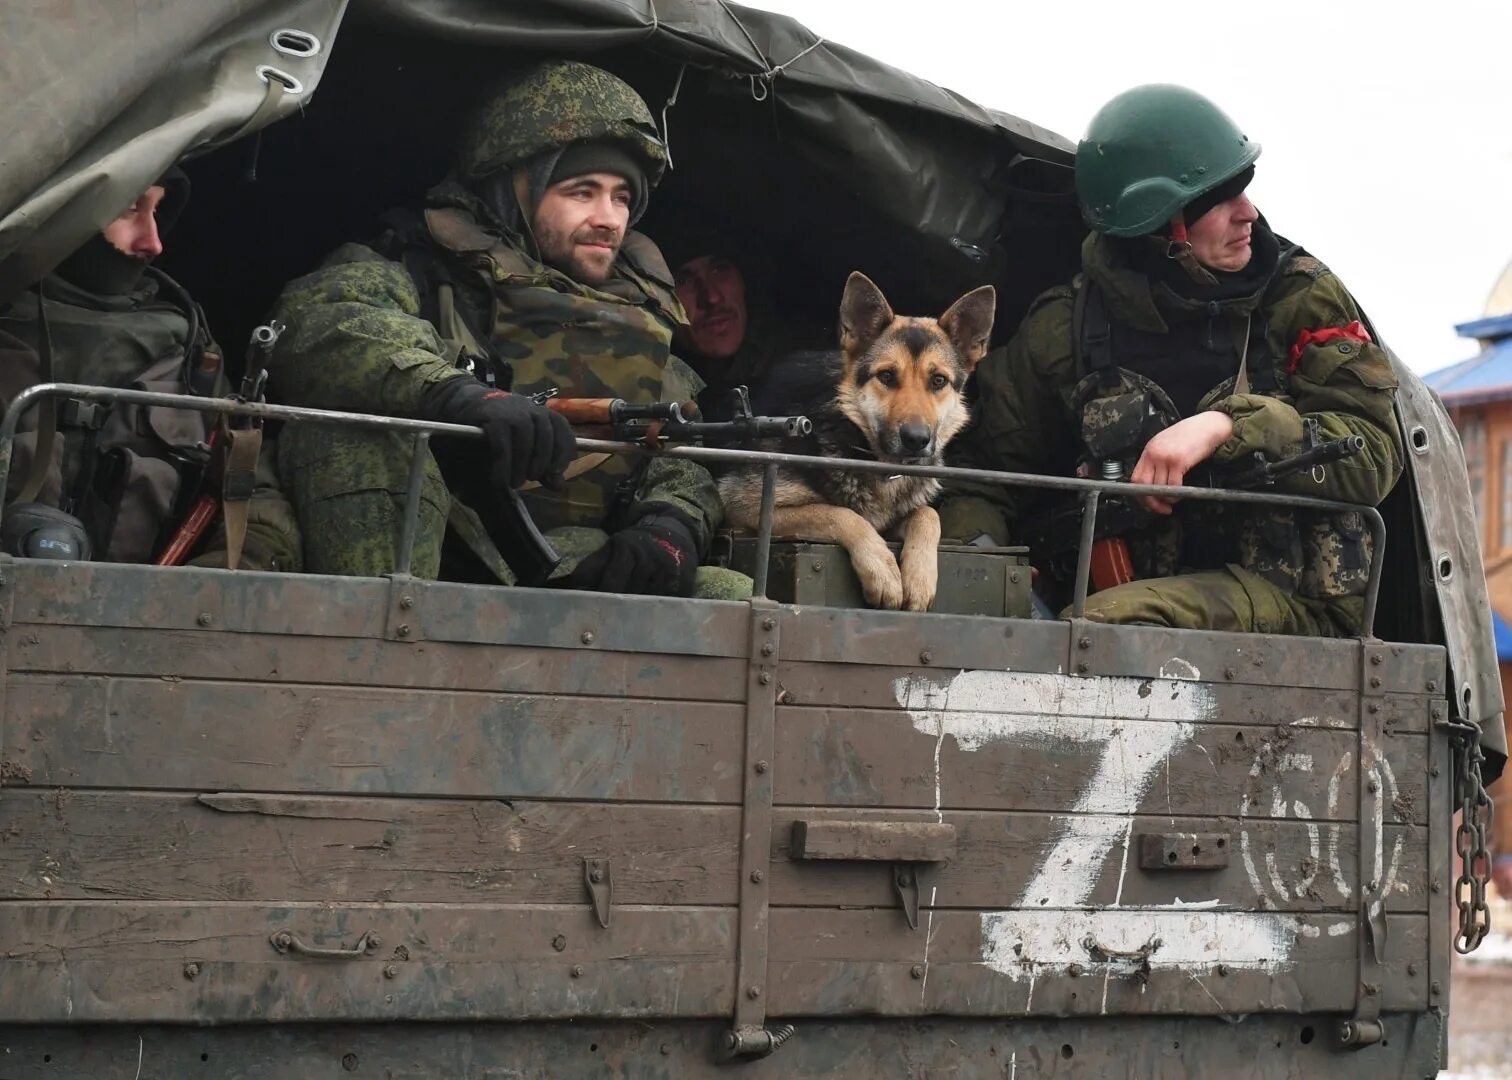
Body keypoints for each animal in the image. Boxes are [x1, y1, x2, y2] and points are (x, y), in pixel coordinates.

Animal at [719, 270, 991, 605]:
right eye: (886, 376)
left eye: (938, 380)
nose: (916, 439)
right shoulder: (745, 507)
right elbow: (840, 513)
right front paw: (883, 570)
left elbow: (927, 515)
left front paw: (920, 576)